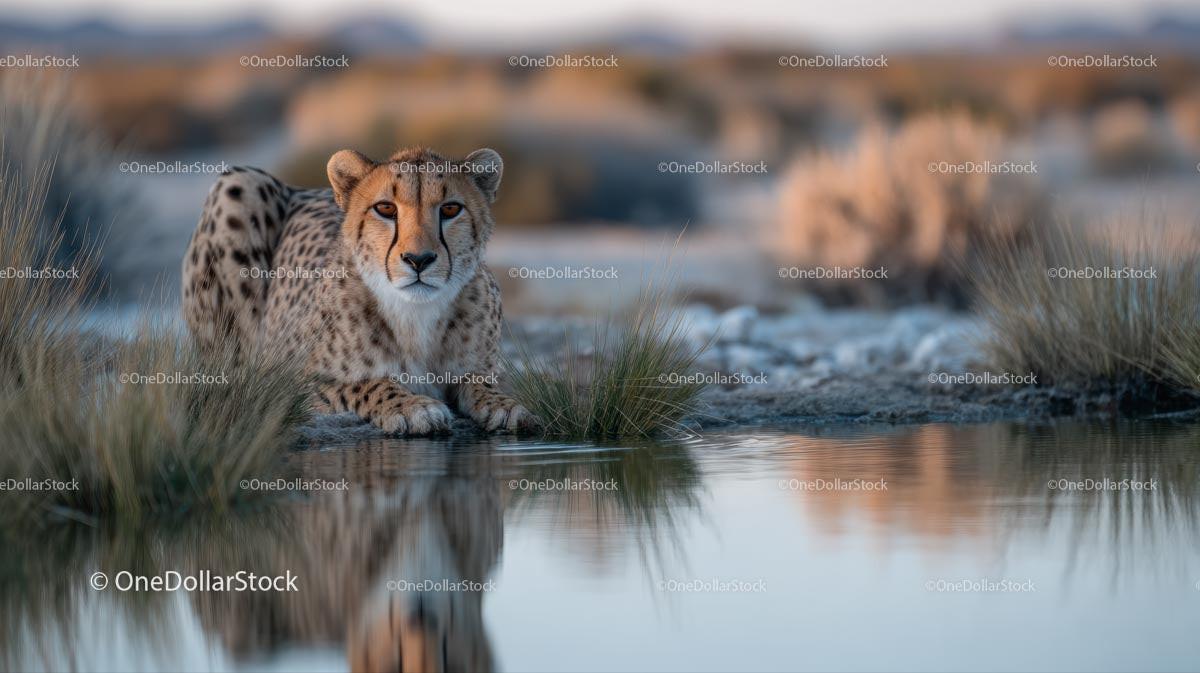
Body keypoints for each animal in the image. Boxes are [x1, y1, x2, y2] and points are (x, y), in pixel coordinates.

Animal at [182, 146, 538, 436]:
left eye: (451, 209)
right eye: (386, 209)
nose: (419, 259)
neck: (416, 315)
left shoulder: (478, 368)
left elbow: (478, 381)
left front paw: (502, 404)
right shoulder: (282, 385)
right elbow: (360, 384)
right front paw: (412, 406)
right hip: (238, 184)